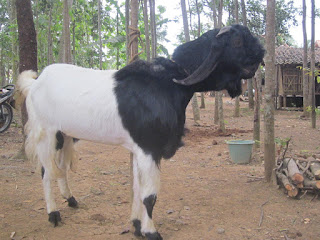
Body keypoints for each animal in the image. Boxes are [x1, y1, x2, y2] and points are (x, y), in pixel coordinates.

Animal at [16, 24, 264, 238]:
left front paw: (136, 226)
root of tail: (34, 83)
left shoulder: (138, 150)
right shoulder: (149, 148)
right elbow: (149, 195)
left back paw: (71, 199)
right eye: (238, 41)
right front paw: (151, 232)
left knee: (59, 167)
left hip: (65, 135)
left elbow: (137, 188)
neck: (170, 82)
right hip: (46, 133)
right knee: (46, 171)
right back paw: (54, 214)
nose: (262, 52)